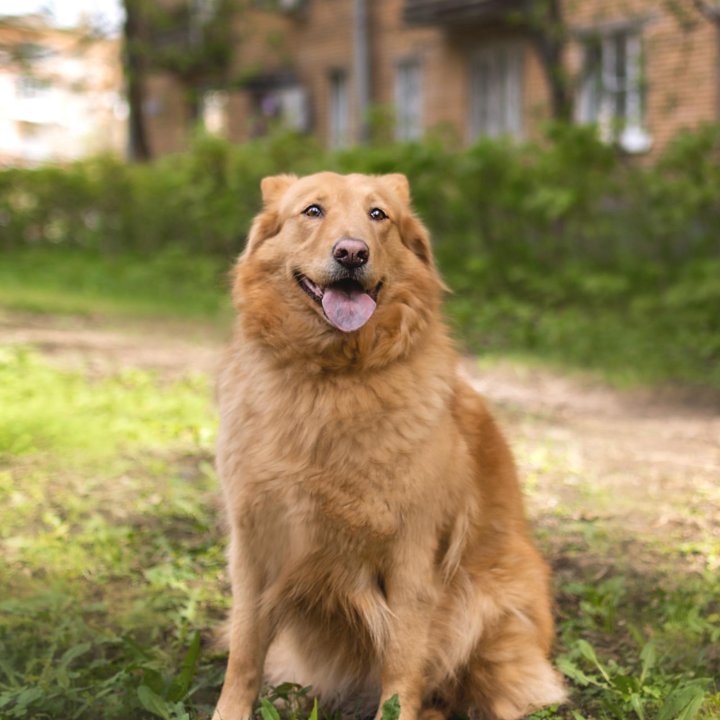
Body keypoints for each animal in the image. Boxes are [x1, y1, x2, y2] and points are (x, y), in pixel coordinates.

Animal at [214, 170, 568, 720]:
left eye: (377, 215)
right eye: (312, 211)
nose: (352, 253)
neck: (334, 381)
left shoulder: (411, 557)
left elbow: (402, 669)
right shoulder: (254, 546)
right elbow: (245, 653)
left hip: (487, 612)